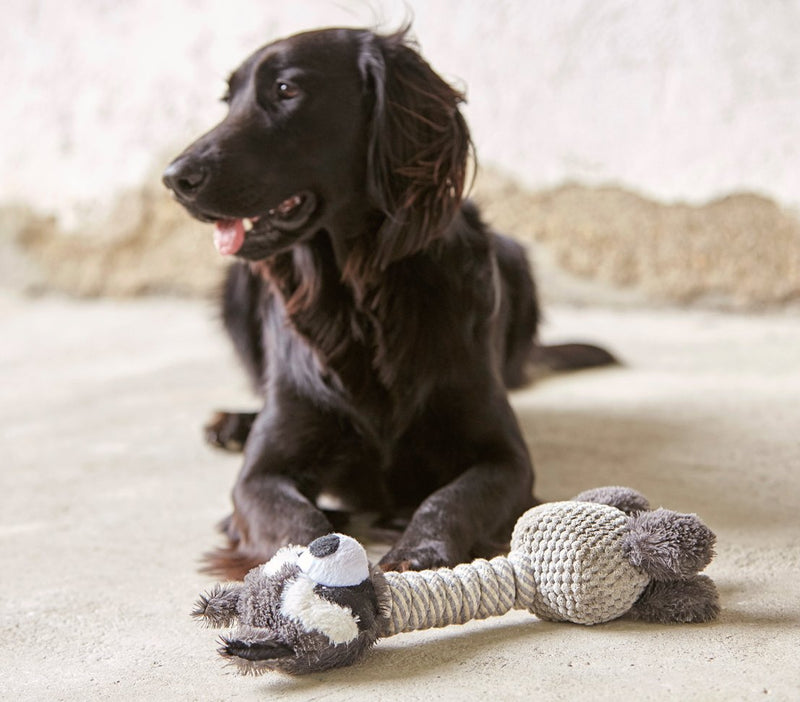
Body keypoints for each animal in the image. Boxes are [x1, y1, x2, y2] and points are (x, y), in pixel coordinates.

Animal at [161, 26, 612, 576]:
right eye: (228, 101)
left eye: (287, 89)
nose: (175, 178)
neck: (359, 301)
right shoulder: (260, 475)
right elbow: (299, 522)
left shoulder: (506, 459)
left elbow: (449, 500)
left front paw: (414, 555)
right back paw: (233, 423)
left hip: (515, 261)